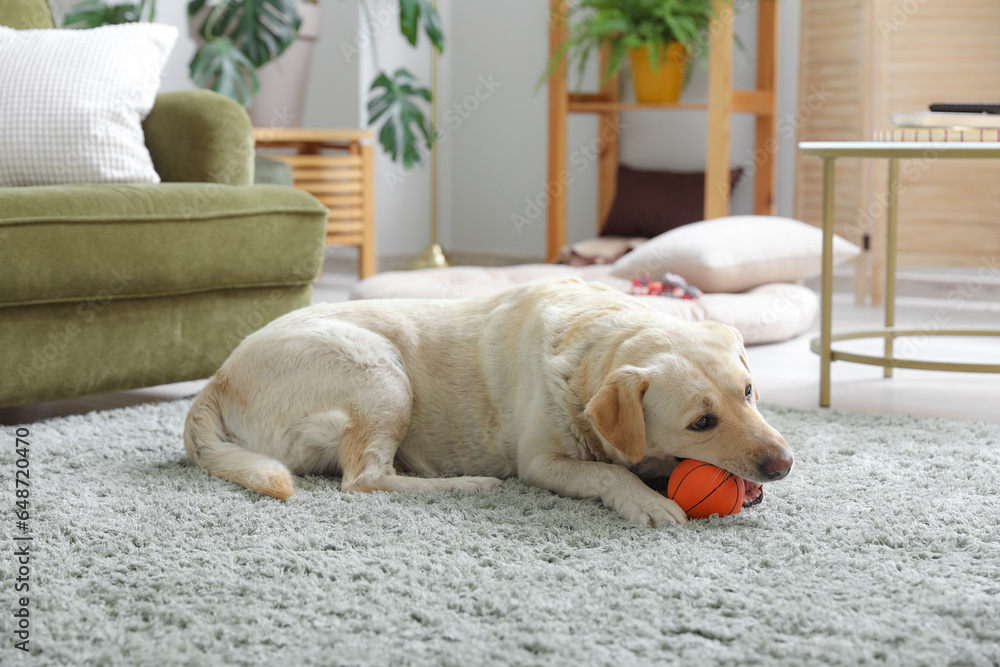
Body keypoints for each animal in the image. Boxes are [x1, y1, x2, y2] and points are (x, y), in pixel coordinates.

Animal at [186, 278, 788, 528]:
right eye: (701, 422)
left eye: (748, 391)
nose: (784, 464)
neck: (593, 339)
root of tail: (217, 377)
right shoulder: (541, 462)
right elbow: (609, 472)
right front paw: (647, 500)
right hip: (380, 373)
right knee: (364, 478)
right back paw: (468, 484)